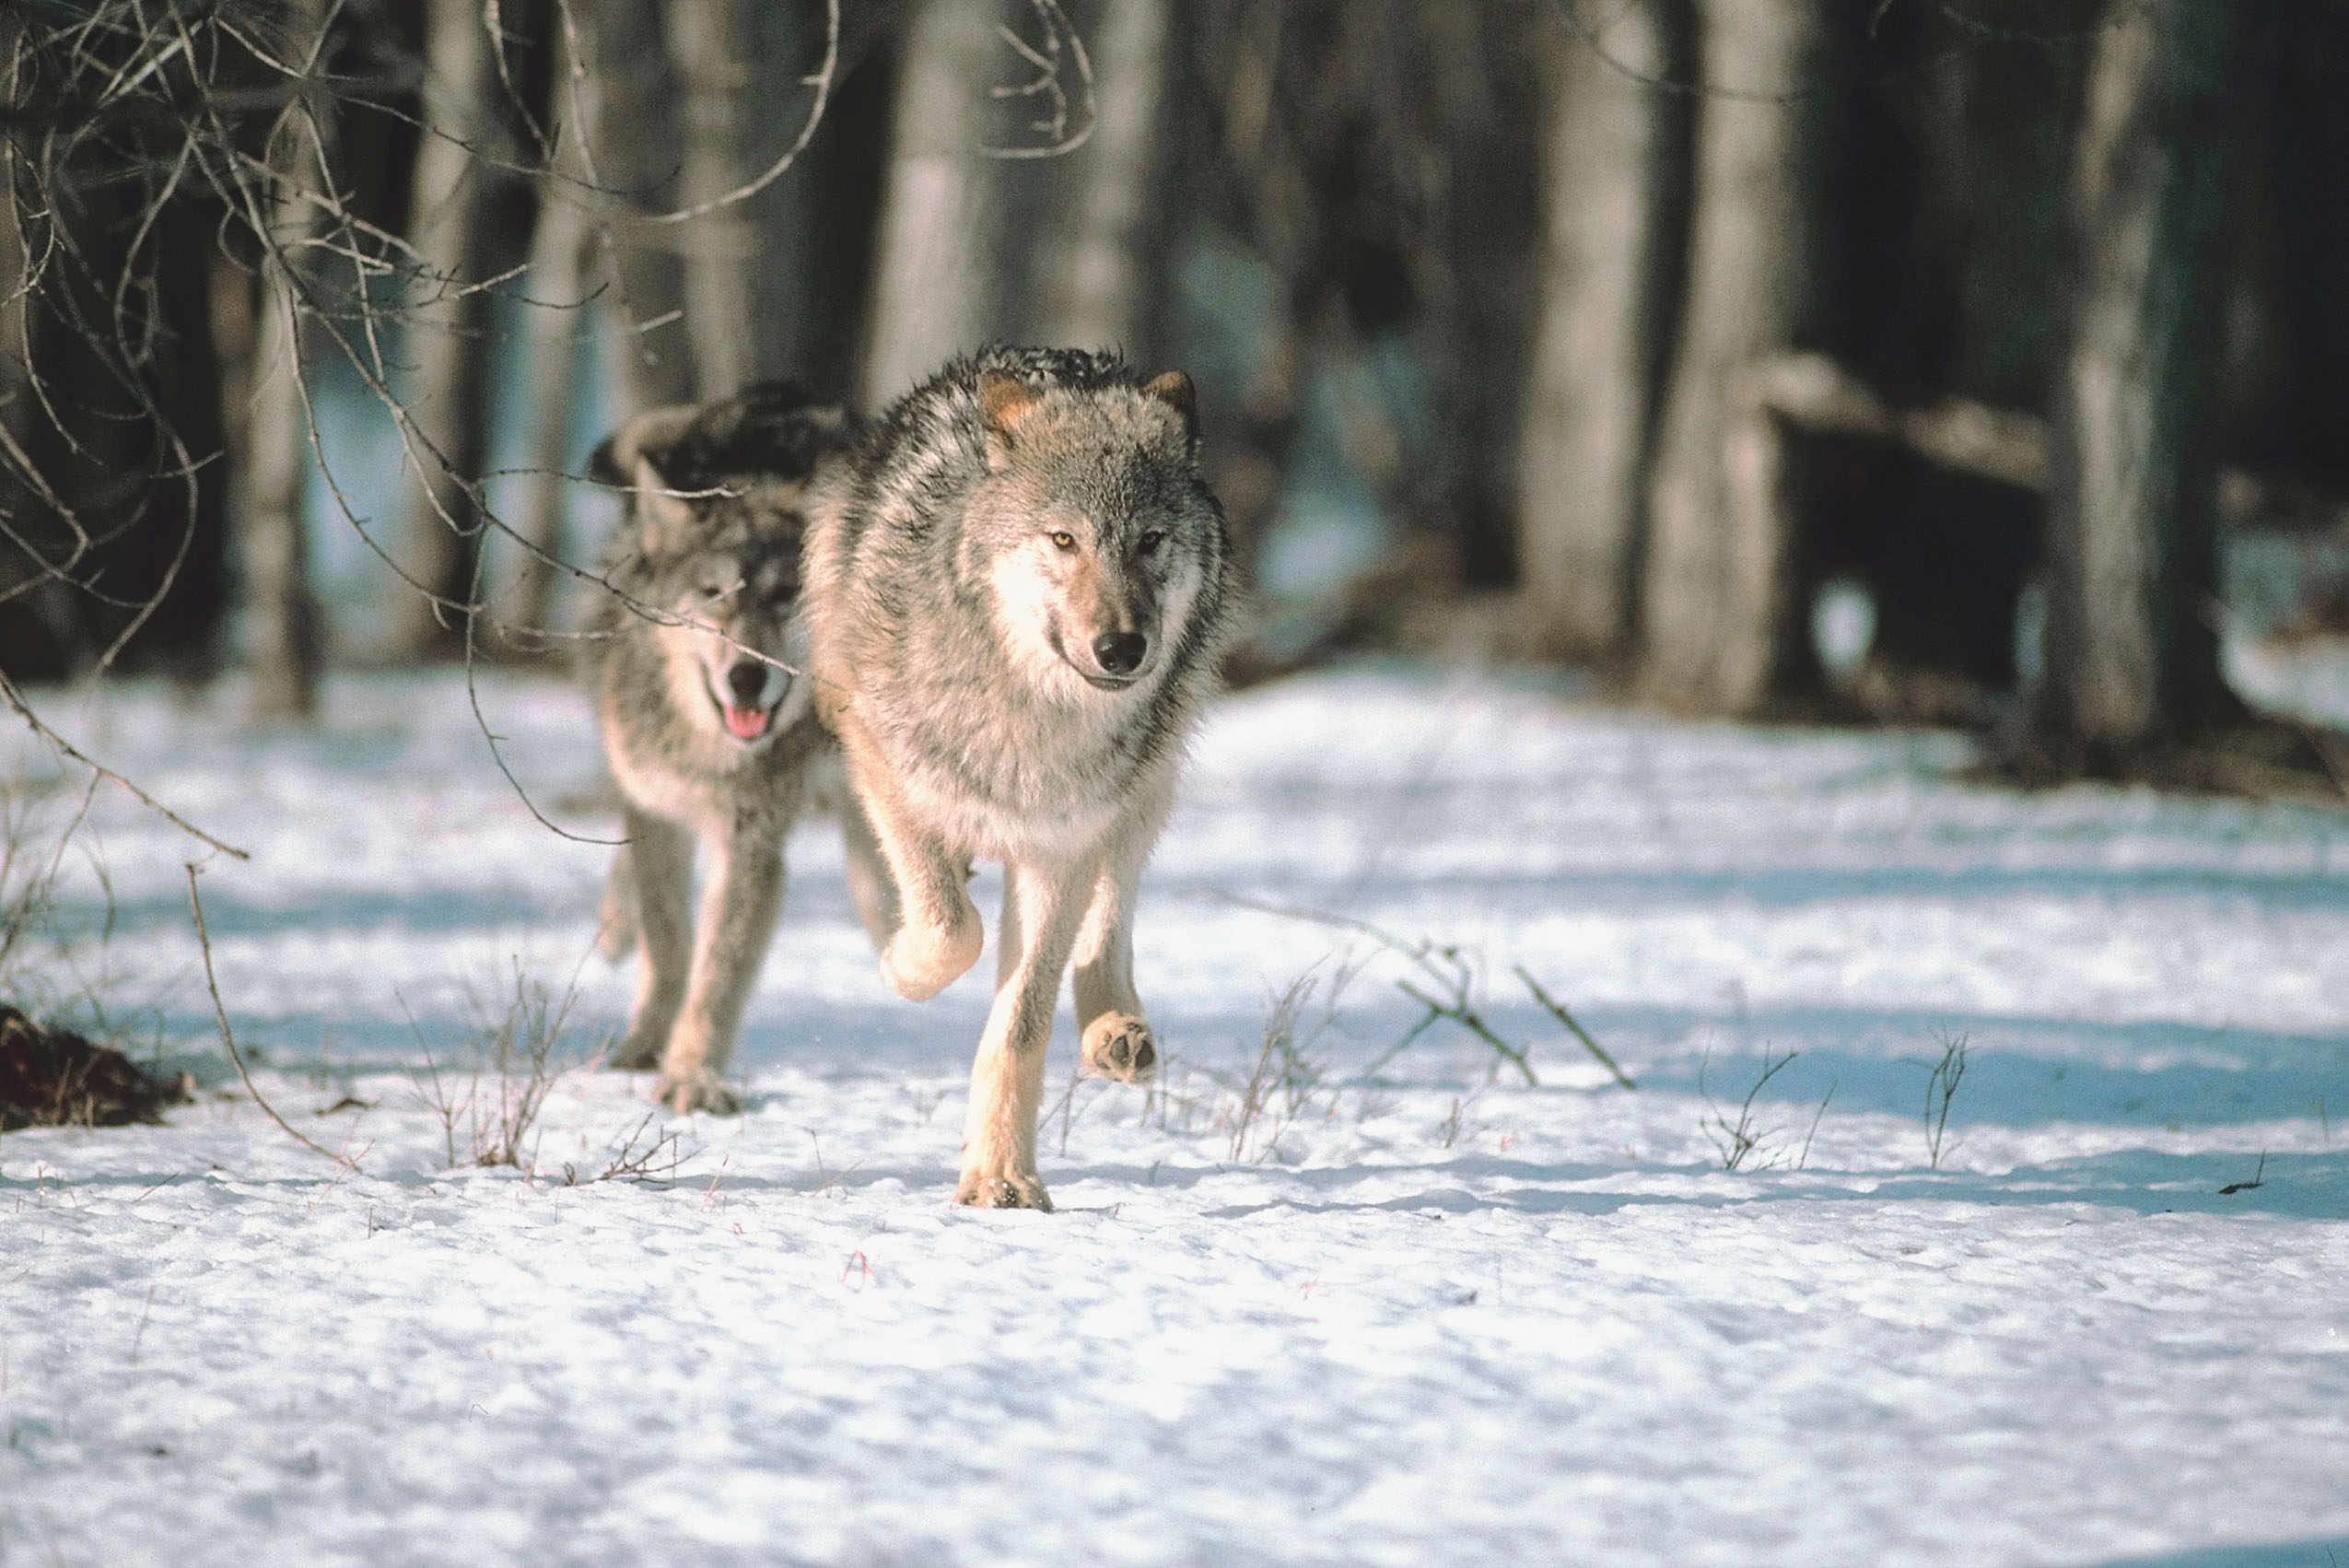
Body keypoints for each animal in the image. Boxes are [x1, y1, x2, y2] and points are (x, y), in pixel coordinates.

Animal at [584, 381, 859, 1114]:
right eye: (713, 595)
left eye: (785, 595)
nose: (747, 676)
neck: (708, 752)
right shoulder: (654, 810)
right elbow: (669, 942)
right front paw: (645, 1047)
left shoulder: (751, 841)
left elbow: (719, 970)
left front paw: (691, 1075)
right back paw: (613, 928)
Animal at [805, 346, 1237, 1209]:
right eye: (1064, 538)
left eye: (1150, 539)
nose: (1122, 649)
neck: (1031, 720)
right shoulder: (884, 767)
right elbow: (949, 930)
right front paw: (900, 967)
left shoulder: (1061, 845)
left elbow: (1022, 1020)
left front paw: (1001, 1176)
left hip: (1152, 777)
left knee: (1110, 918)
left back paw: (1116, 1032)